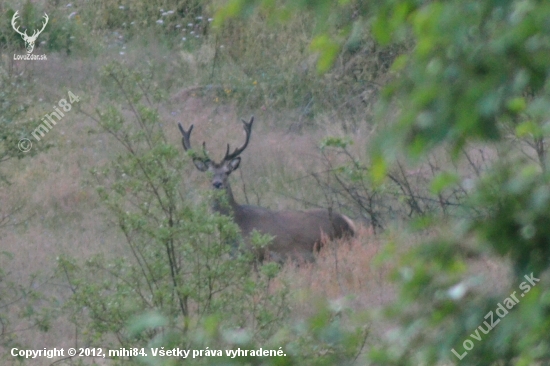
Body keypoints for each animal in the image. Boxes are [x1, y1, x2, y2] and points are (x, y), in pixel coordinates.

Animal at [179, 116, 356, 262]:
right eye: (209, 173)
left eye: (227, 172)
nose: (217, 184)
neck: (238, 222)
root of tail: (349, 222)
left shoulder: (255, 253)